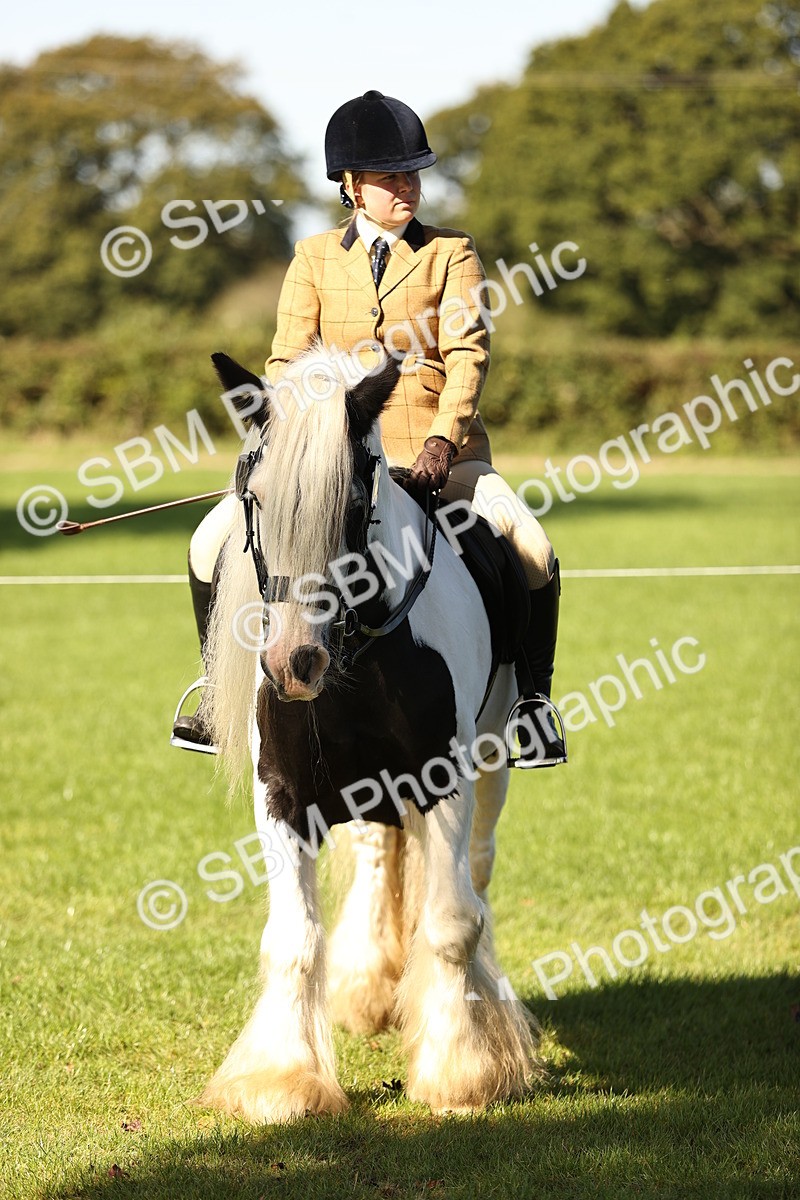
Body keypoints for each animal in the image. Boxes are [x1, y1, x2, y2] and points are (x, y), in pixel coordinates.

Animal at [200, 341, 542, 1122]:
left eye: (354, 506)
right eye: (254, 499)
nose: (293, 662)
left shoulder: (446, 782)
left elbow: (451, 922)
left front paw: (463, 1071)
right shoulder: (282, 793)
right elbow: (292, 938)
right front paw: (280, 1082)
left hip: (492, 765)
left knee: (475, 880)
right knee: (384, 856)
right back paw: (371, 990)